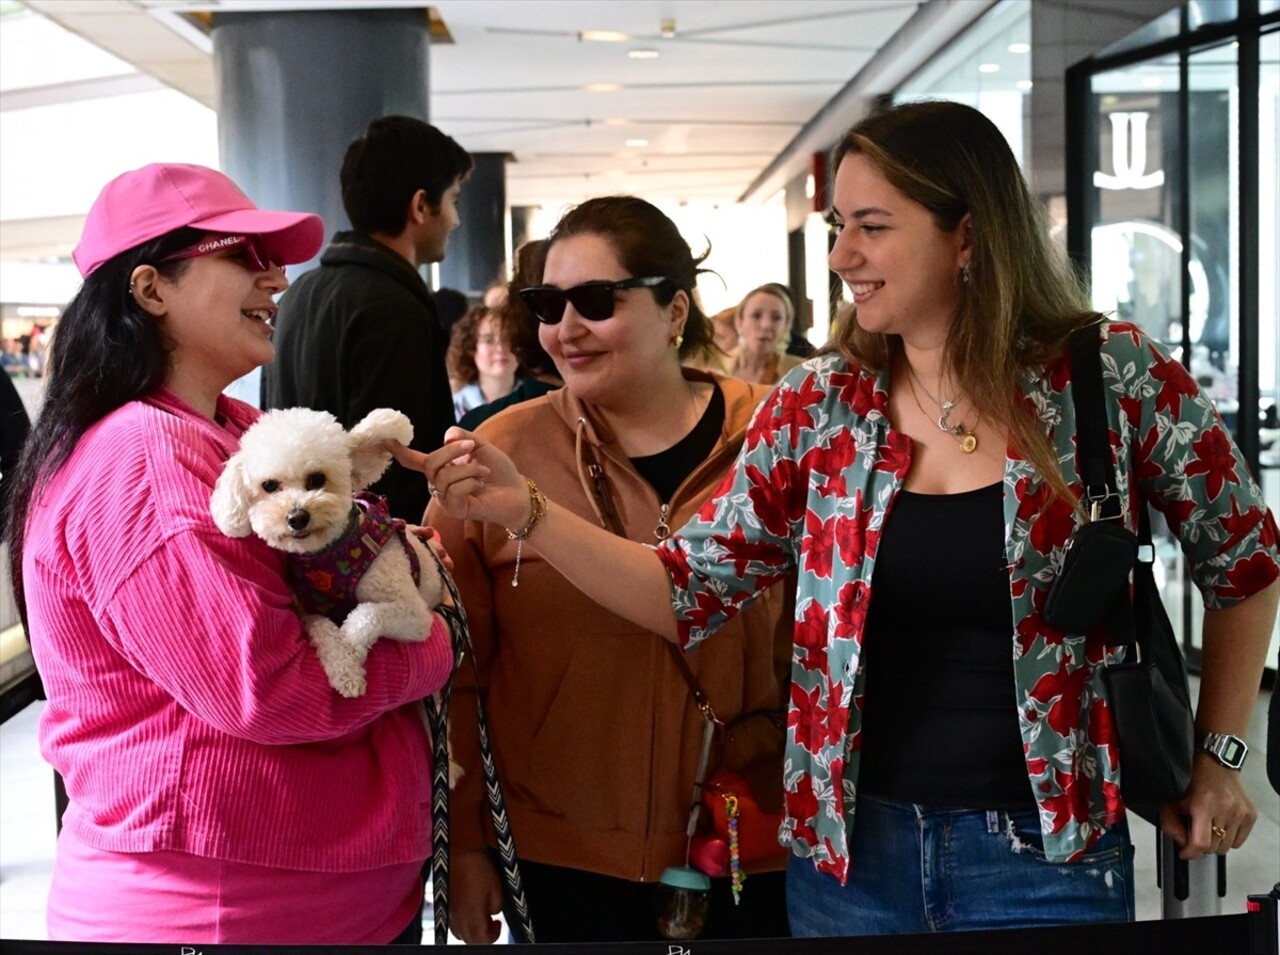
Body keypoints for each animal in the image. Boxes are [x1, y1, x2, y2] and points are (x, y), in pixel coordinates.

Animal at [213, 404, 445, 696]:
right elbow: (322, 627)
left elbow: (367, 614)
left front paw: (351, 653)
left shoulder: (415, 614)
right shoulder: (309, 613)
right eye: (269, 486)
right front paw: (342, 664)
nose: (297, 517)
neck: (328, 557)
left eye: (317, 479)